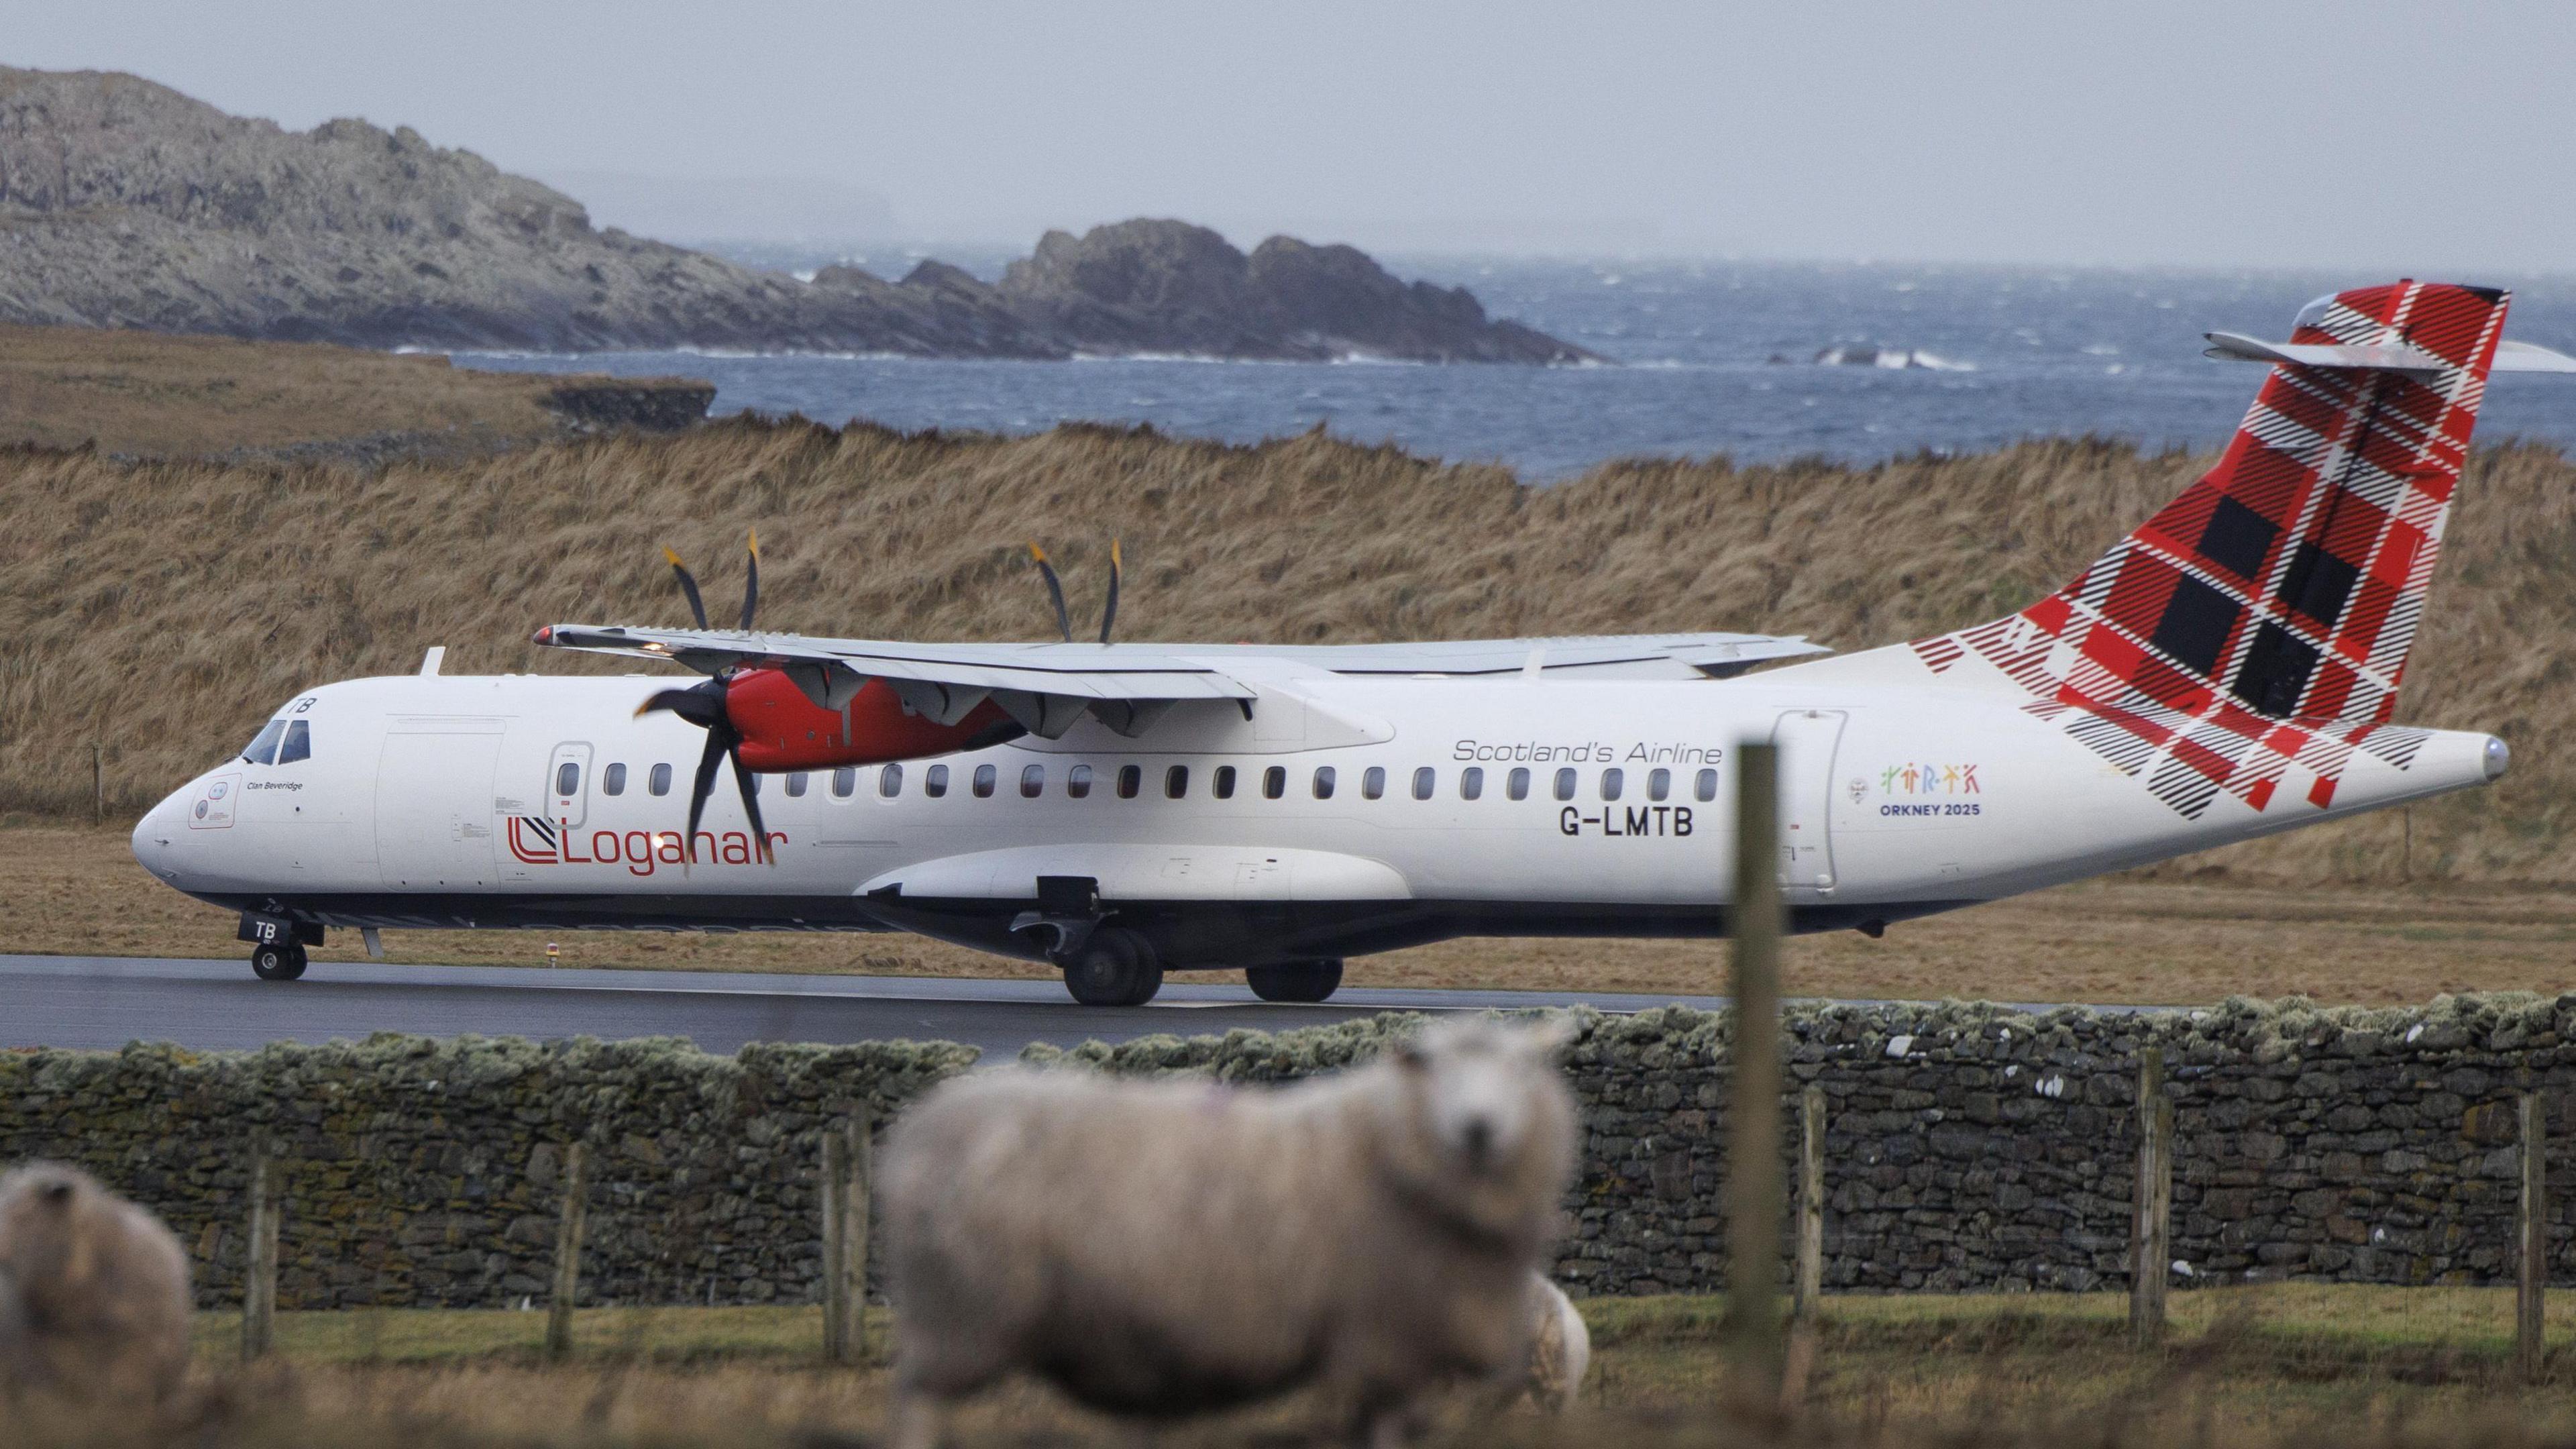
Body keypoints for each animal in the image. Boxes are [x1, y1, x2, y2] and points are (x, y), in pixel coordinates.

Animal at [881, 1016, 1579, 1448]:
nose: (1479, 1128)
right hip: (963, 1319)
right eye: (1432, 1069)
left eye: (1524, 1068)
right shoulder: (1382, 1343)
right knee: (917, 1402)